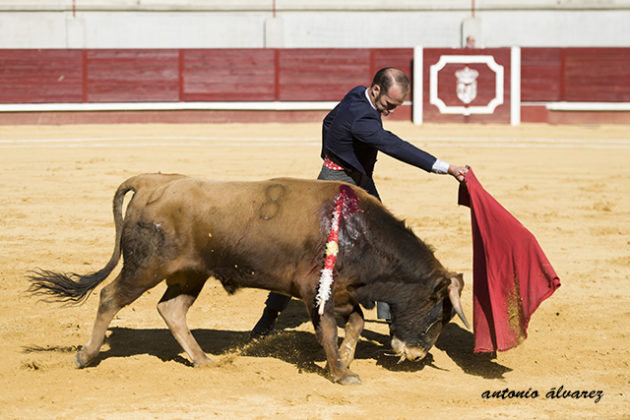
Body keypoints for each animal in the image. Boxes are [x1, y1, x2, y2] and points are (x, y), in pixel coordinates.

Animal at [29, 172, 470, 386]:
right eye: (438, 315)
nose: (417, 355)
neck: (359, 233)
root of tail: (152, 180)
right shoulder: (317, 292)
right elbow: (330, 330)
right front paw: (343, 374)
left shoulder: (338, 292)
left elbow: (358, 323)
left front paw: (345, 360)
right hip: (145, 267)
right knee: (110, 297)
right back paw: (86, 355)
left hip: (188, 274)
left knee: (172, 310)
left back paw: (203, 359)